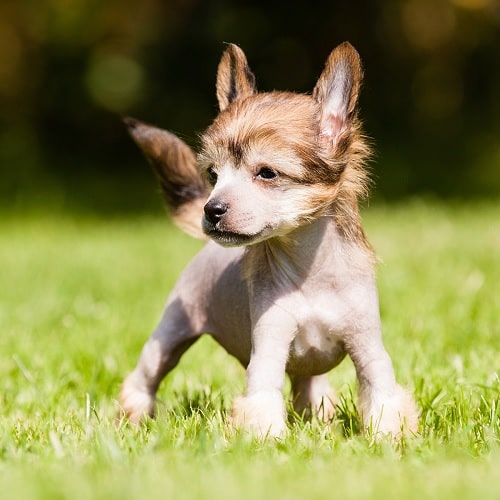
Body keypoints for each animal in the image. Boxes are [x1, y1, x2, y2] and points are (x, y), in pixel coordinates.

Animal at [120, 42, 418, 438]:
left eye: (267, 174)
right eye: (213, 174)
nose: (211, 209)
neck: (311, 275)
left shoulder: (368, 347)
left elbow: (383, 395)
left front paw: (387, 439)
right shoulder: (269, 349)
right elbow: (263, 399)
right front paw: (269, 441)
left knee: (310, 388)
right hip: (169, 335)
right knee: (146, 377)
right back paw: (133, 416)